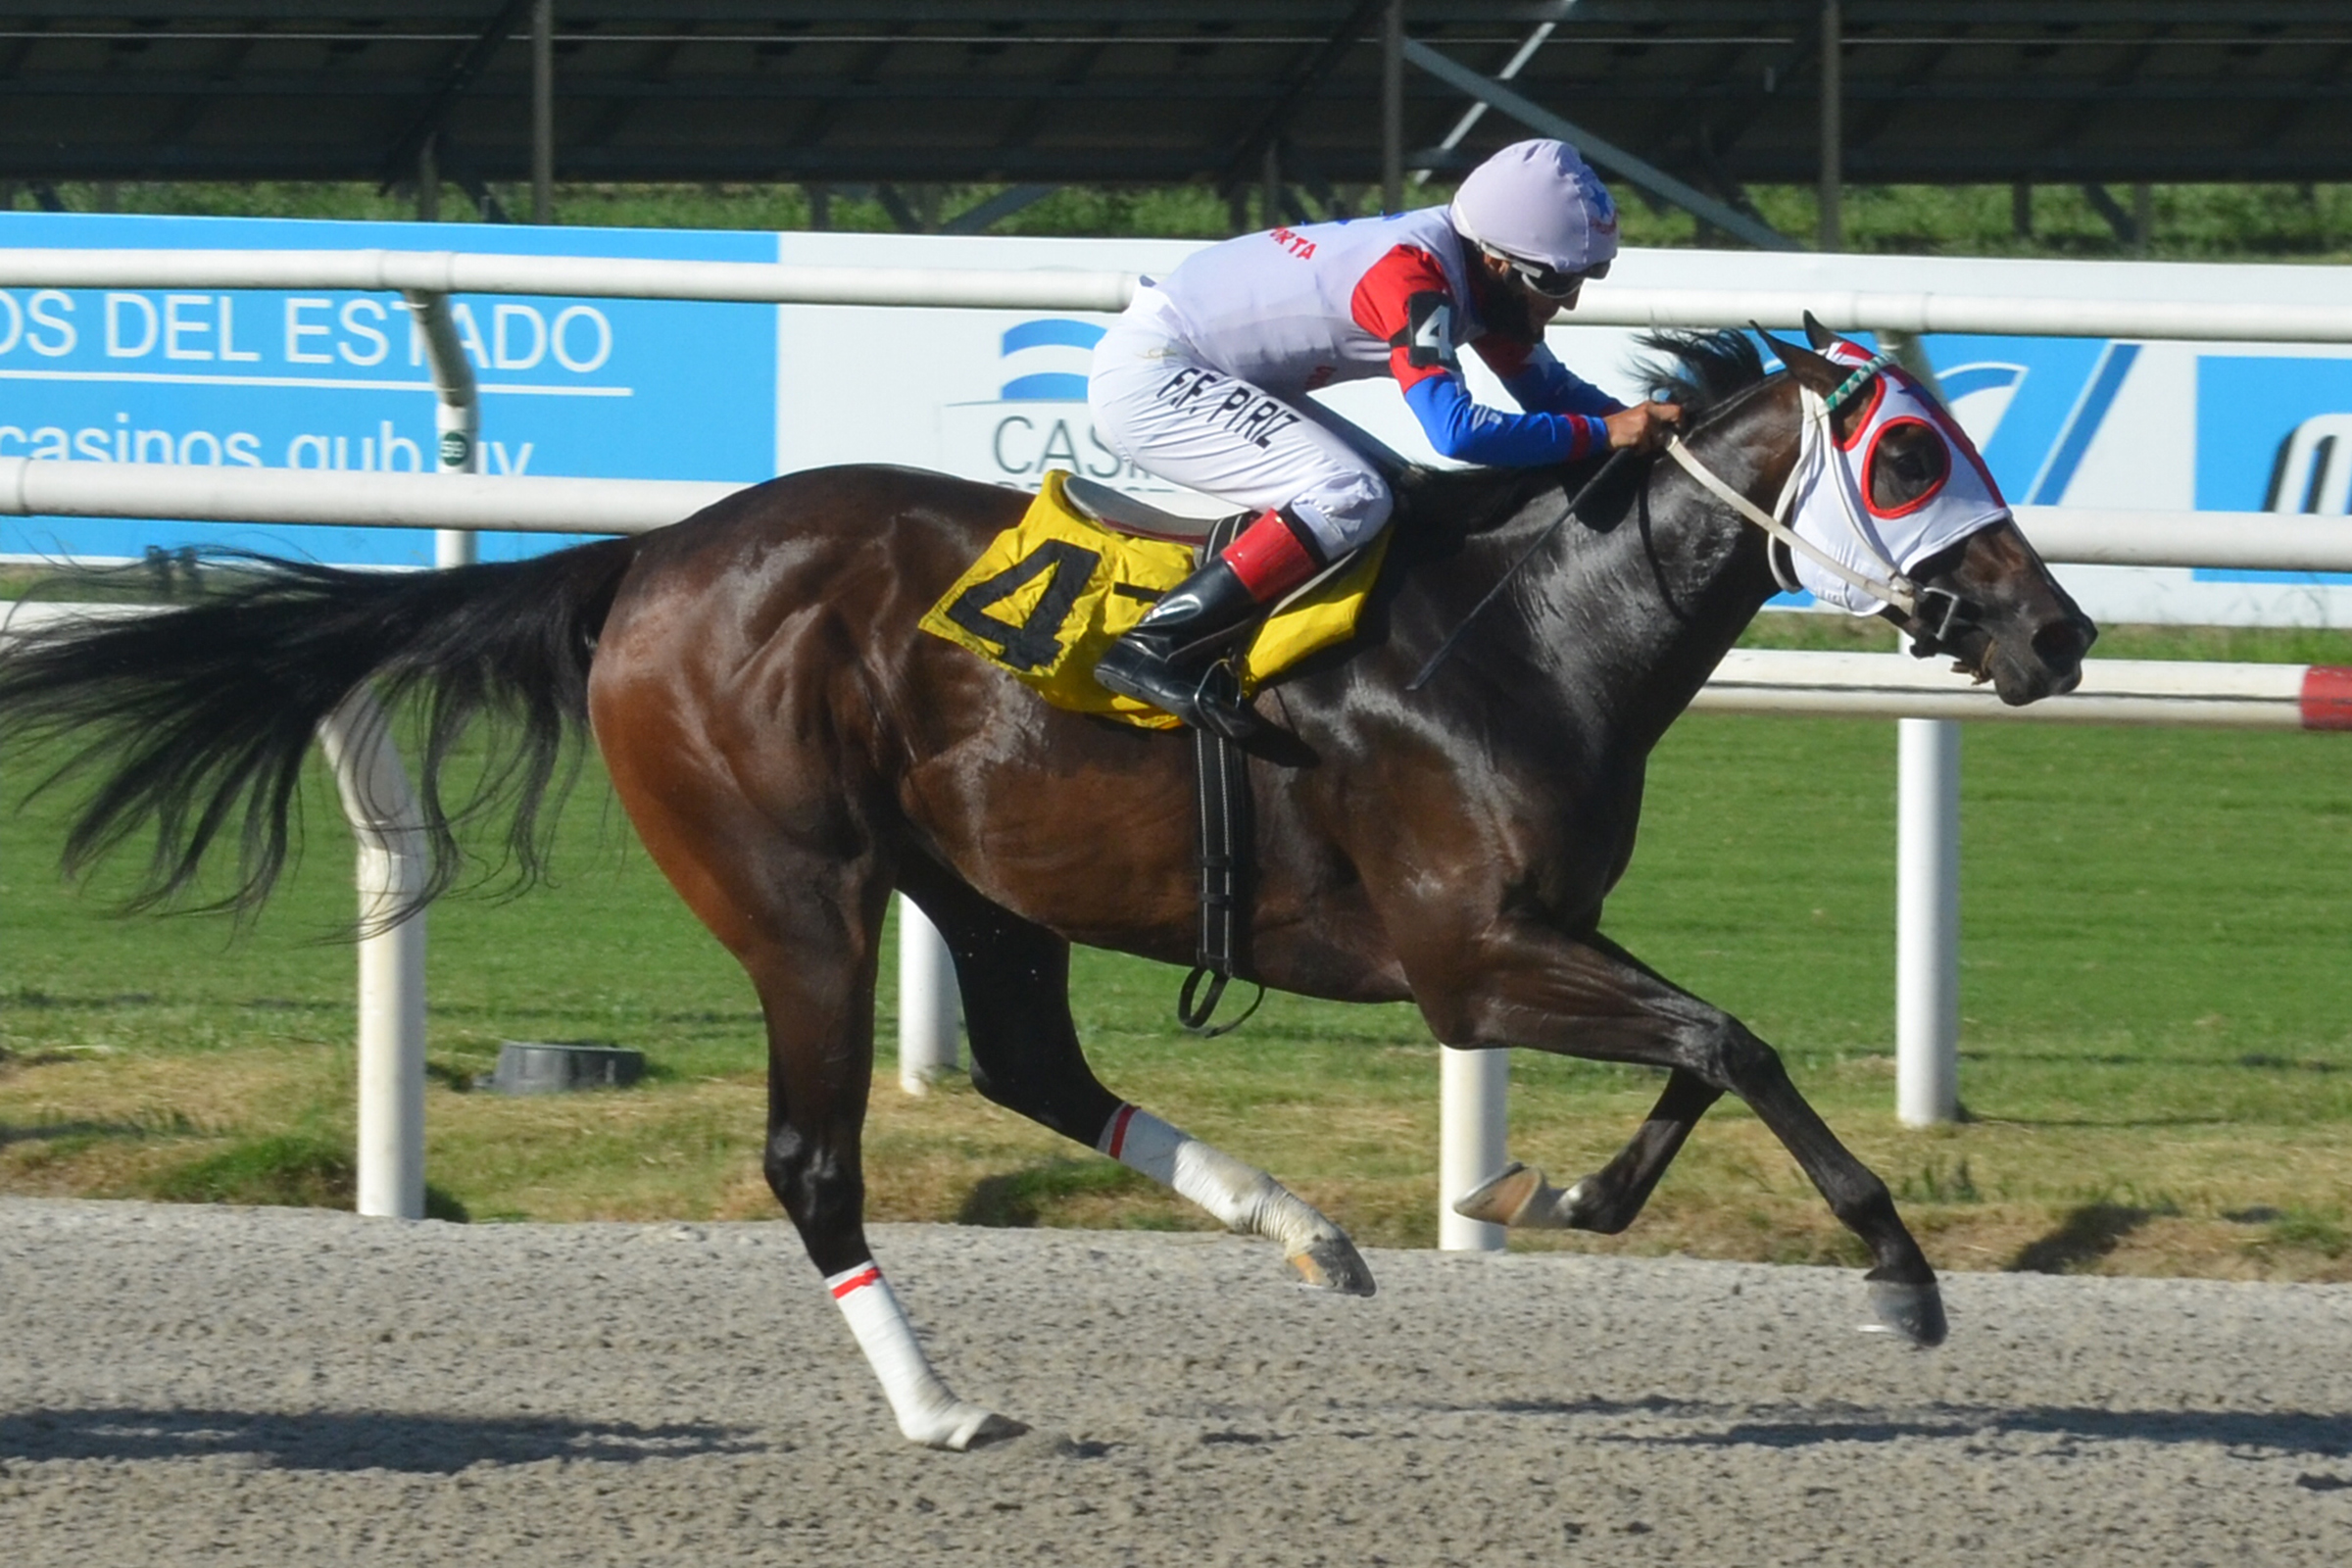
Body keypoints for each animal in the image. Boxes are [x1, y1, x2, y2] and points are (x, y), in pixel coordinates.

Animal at [0, 321, 2095, 1449]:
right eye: (1912, 453)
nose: (2059, 635)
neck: (1527, 632)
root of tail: (651, 559)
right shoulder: (1471, 958)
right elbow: (1733, 1042)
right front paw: (1899, 1278)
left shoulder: (1530, 944)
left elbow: (1701, 1053)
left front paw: (1548, 1189)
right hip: (799, 888)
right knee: (814, 1157)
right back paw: (941, 1403)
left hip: (979, 880)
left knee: (1027, 1066)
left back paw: (1301, 1230)